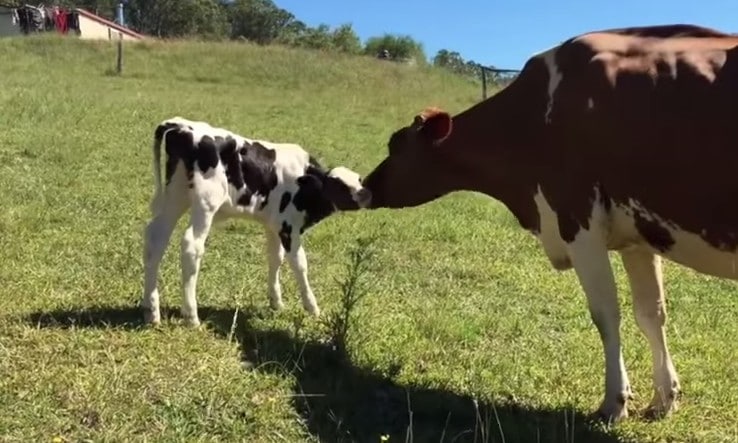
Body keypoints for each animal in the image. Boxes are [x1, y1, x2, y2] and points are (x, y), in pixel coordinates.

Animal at [142, 117, 372, 328]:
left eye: (359, 179)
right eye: (339, 186)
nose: (366, 194)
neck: (304, 183)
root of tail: (180, 125)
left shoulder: (274, 225)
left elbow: (275, 258)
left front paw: (276, 302)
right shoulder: (289, 227)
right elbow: (300, 264)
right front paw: (312, 307)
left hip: (176, 194)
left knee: (156, 238)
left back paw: (151, 310)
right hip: (206, 202)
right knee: (191, 246)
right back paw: (191, 317)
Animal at [360, 24, 738, 424]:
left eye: (396, 145)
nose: (366, 186)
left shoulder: (577, 220)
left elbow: (607, 315)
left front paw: (614, 401)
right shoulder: (638, 233)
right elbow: (651, 313)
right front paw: (665, 399)